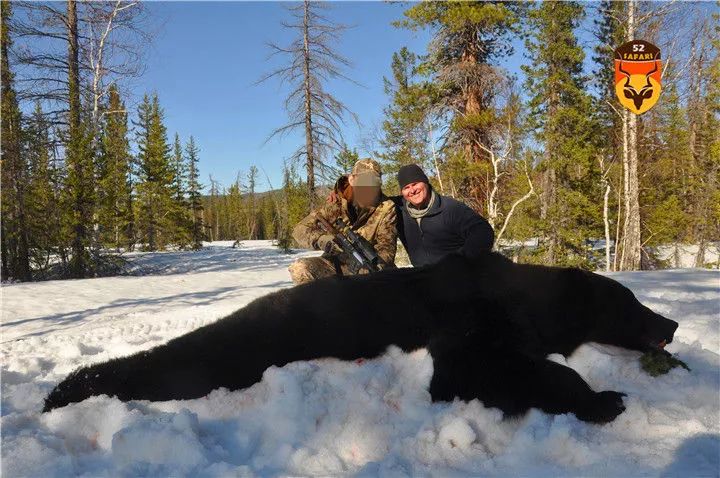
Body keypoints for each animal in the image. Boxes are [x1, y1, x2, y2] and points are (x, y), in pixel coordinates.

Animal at [42, 252, 676, 424]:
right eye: (630, 301)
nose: (671, 324)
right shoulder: (466, 329)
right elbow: (483, 369)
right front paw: (603, 399)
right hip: (253, 345)